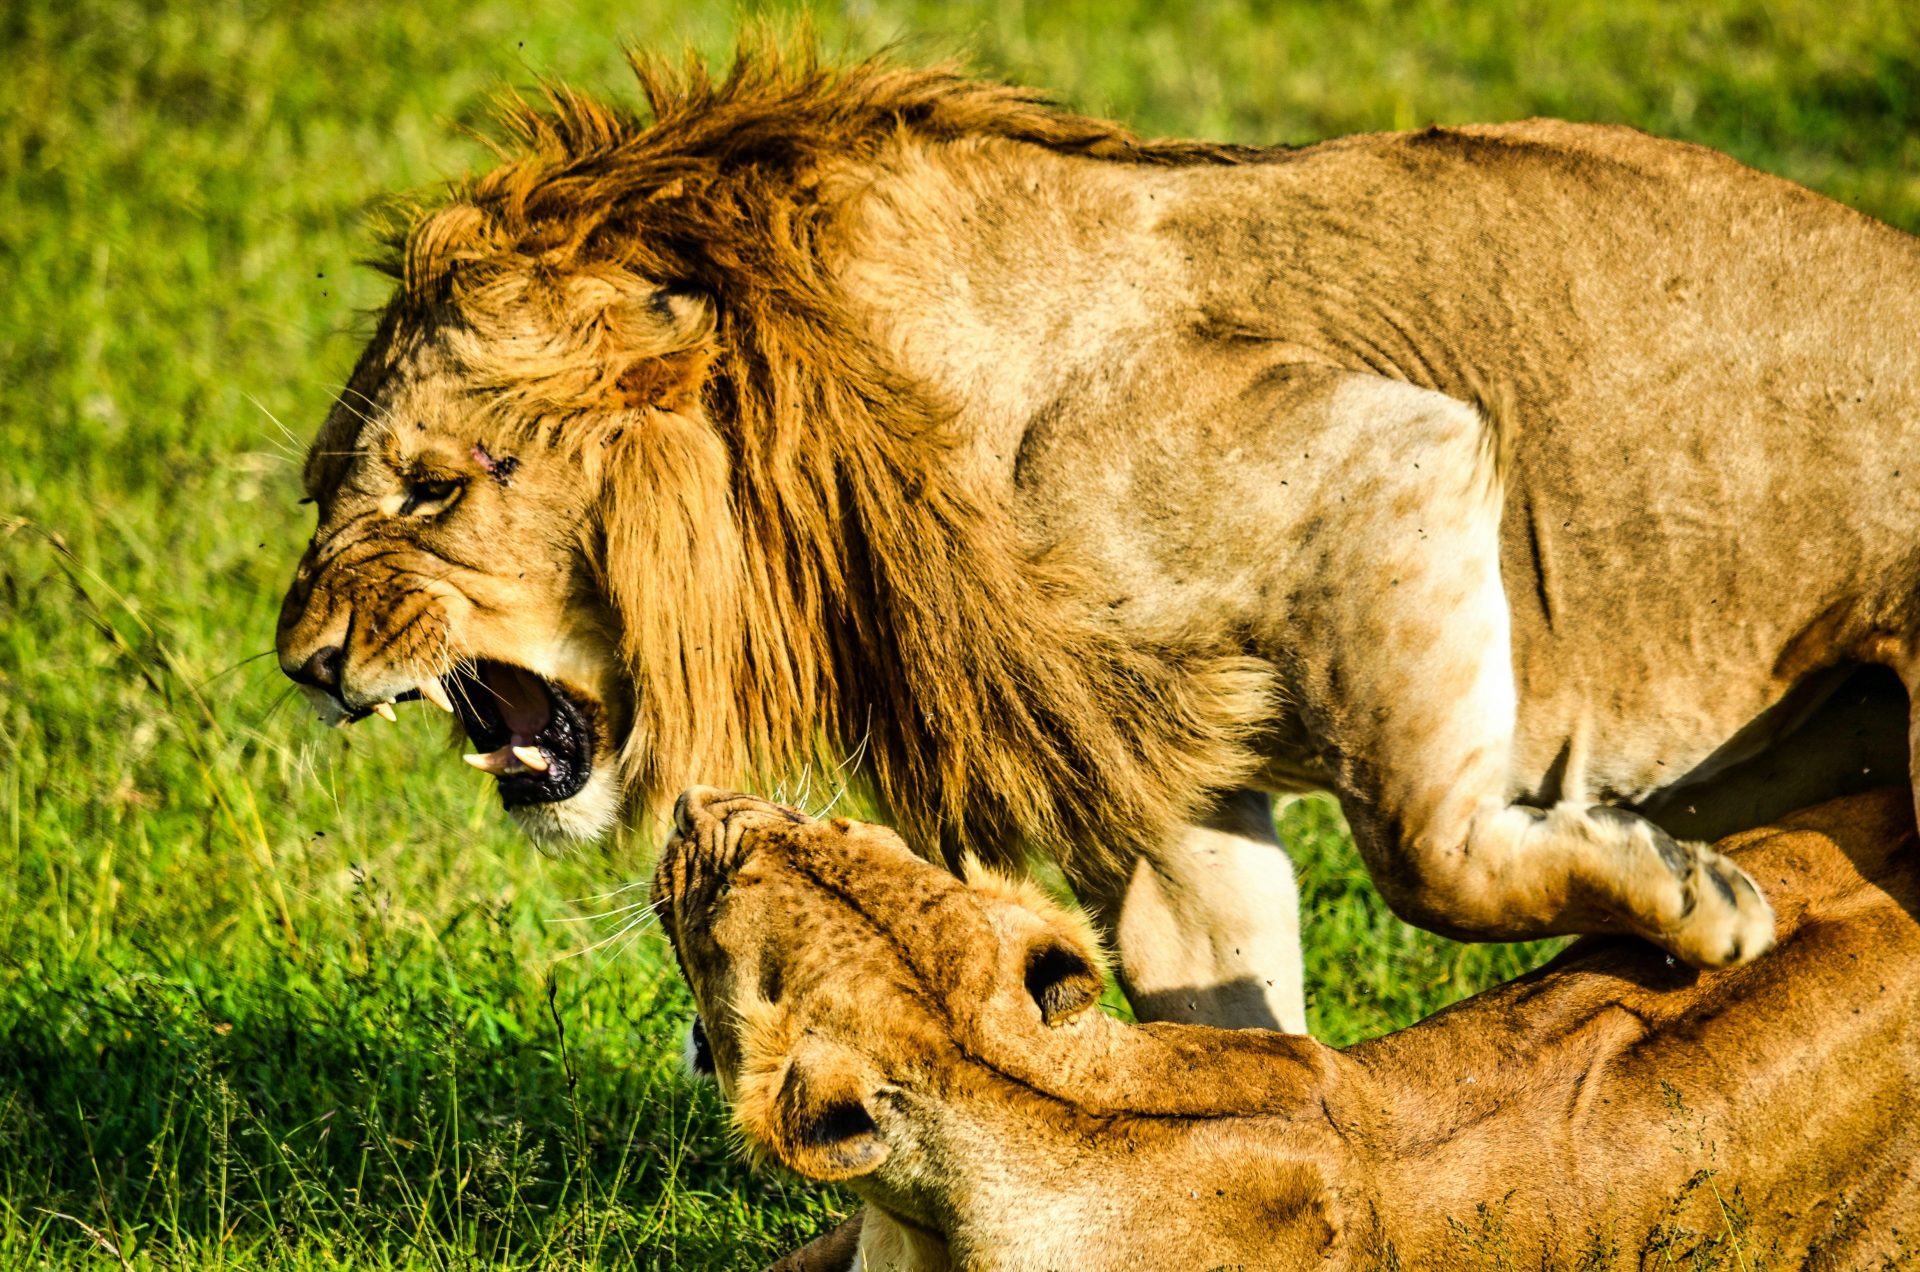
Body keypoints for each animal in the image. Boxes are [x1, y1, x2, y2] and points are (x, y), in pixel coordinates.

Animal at [276, 46, 1920, 1034]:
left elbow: (1431, 856)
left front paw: (1694, 900)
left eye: (434, 490)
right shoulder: (1156, 788)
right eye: (324, 490)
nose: (302, 663)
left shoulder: (1389, 453)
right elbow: (1228, 1021)